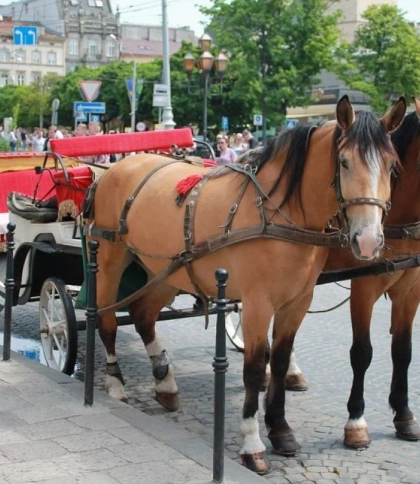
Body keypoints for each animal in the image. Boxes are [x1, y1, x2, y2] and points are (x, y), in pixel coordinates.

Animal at [86, 96, 406, 474]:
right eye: (344, 162)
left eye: (392, 166)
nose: (369, 240)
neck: (278, 212)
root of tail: (120, 165)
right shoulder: (257, 303)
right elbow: (254, 369)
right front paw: (252, 444)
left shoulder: (297, 302)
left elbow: (278, 363)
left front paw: (281, 430)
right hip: (110, 258)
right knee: (106, 319)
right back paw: (114, 382)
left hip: (165, 269)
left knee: (142, 314)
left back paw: (165, 382)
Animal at [288, 99, 420, 450]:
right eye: (344, 163)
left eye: (392, 166)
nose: (369, 240)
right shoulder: (364, 288)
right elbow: (362, 353)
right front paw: (356, 422)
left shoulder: (410, 291)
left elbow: (403, 351)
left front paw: (404, 414)